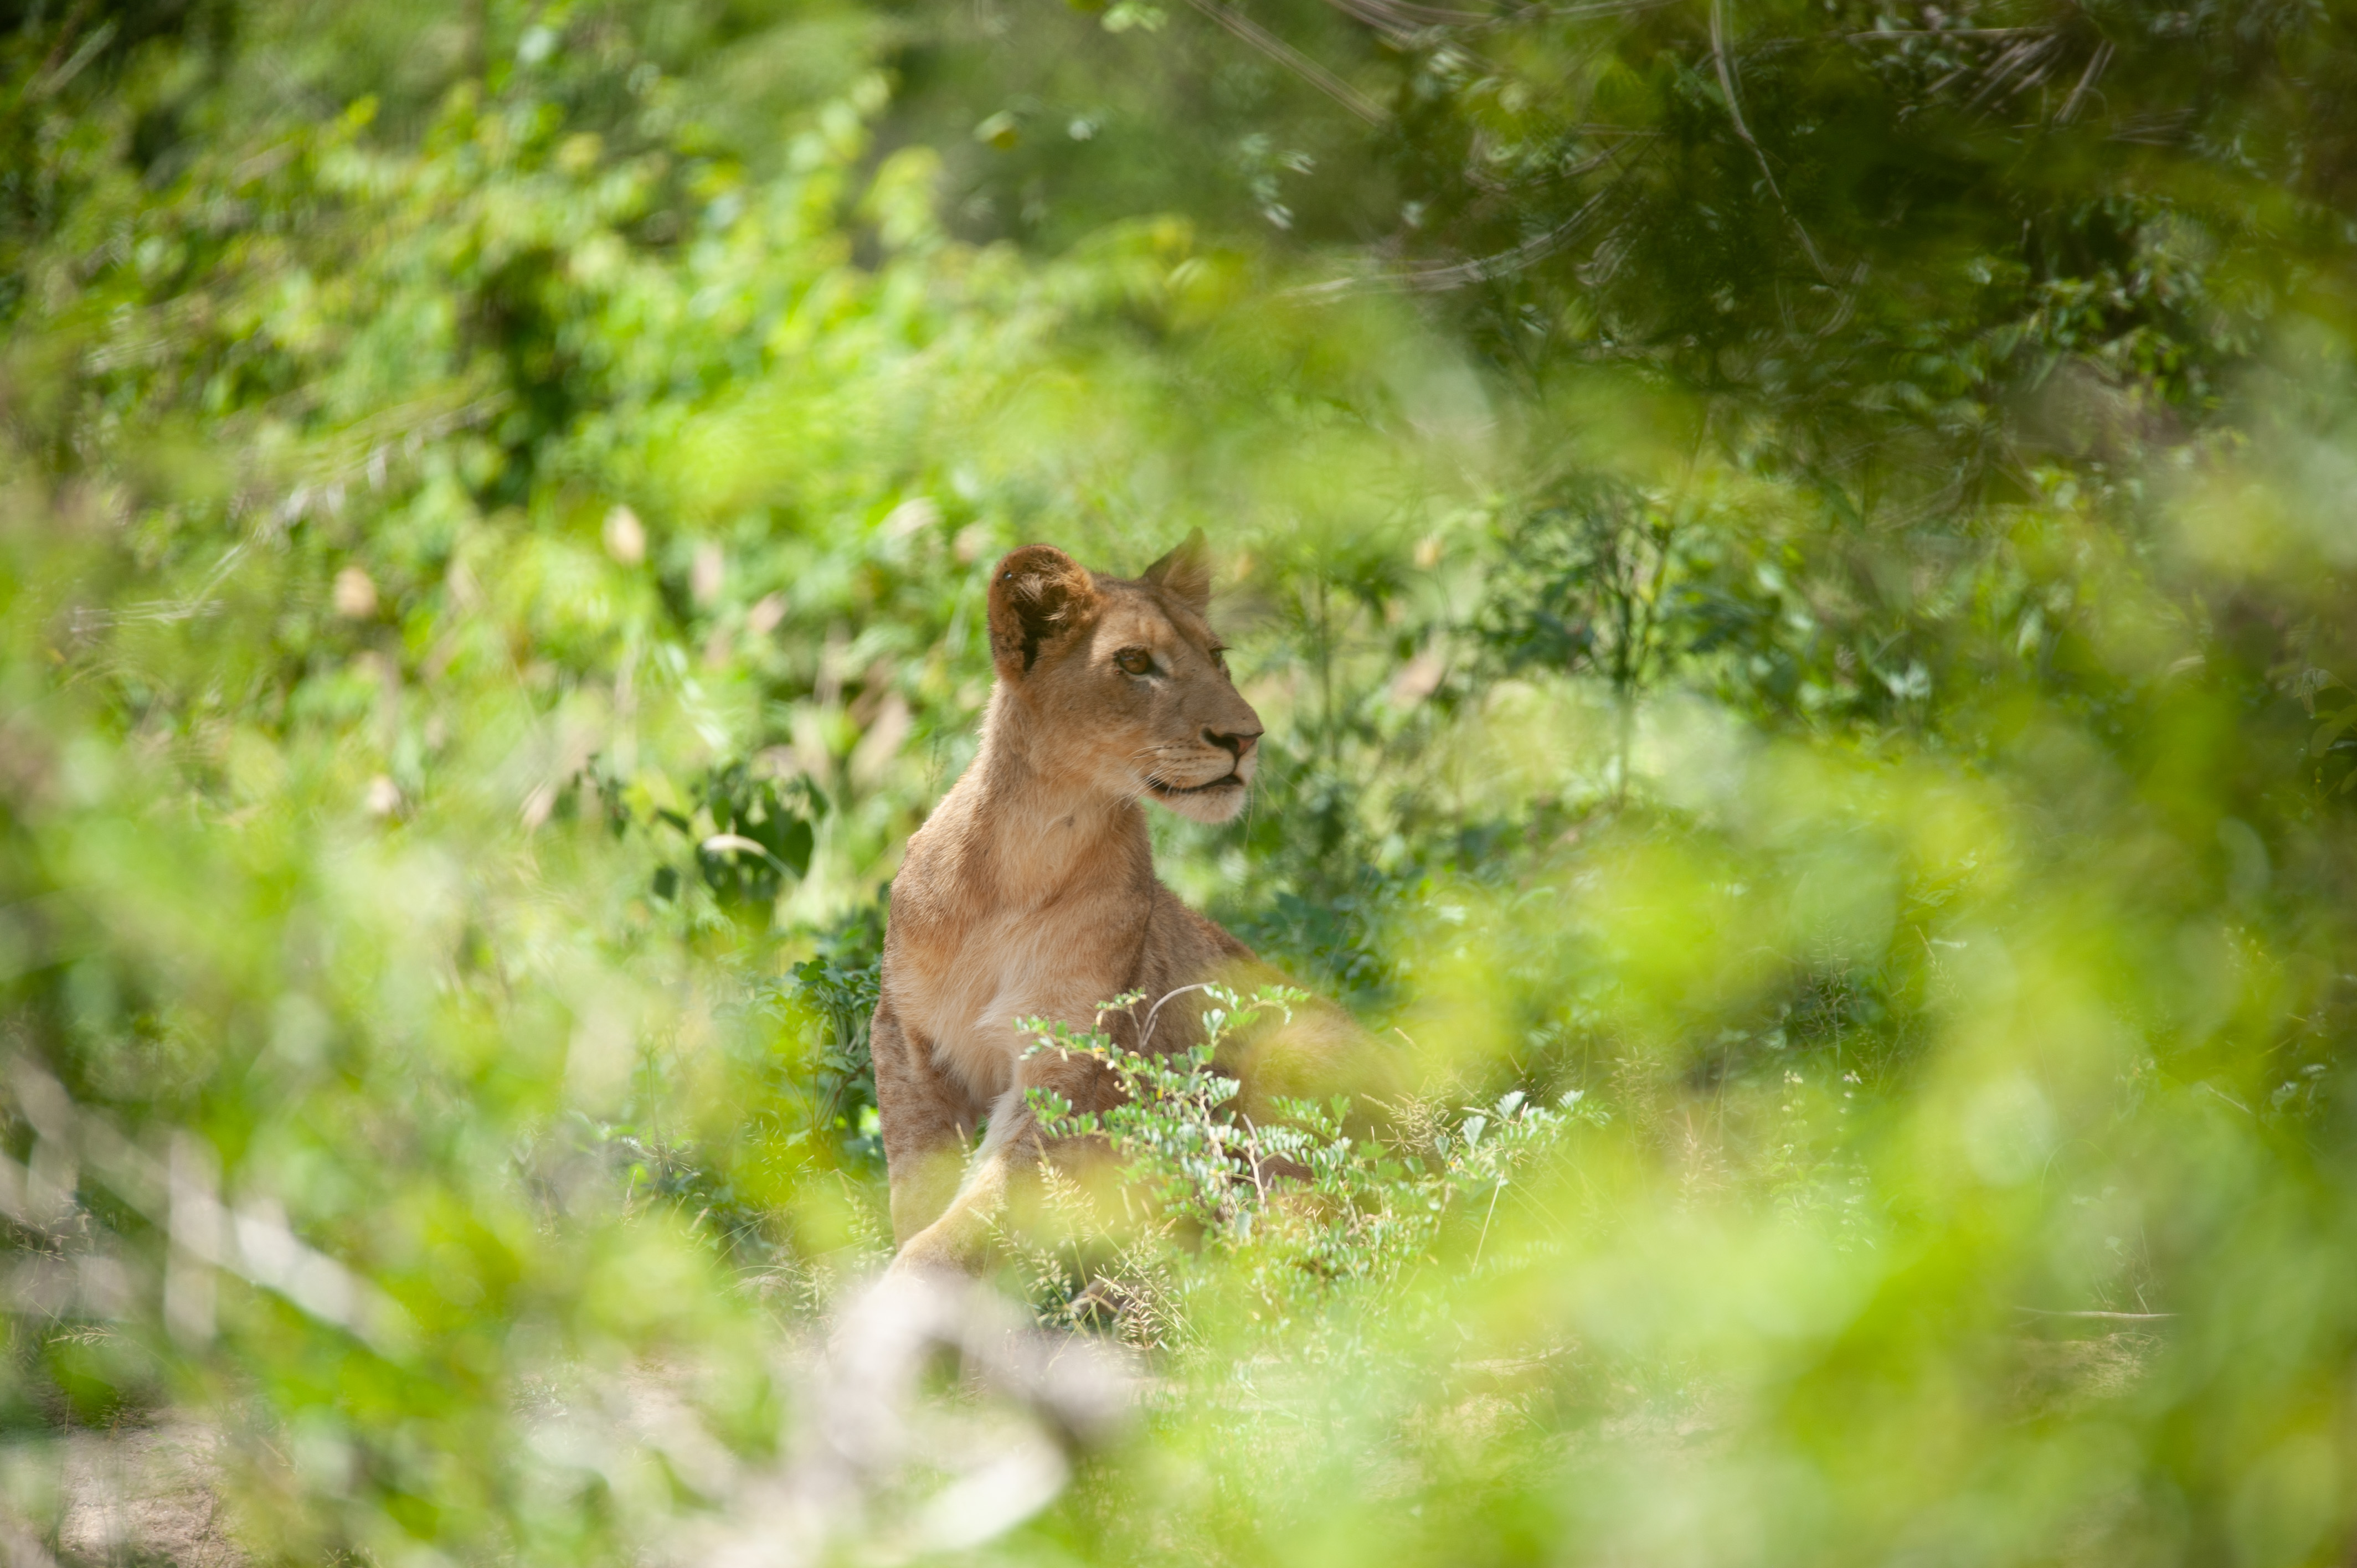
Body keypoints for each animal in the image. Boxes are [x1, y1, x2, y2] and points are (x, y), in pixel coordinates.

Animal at [871, 531, 1376, 1275]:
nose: (1246, 738)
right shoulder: (905, 1041)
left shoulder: (1076, 1064)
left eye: (1216, 657)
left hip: (1295, 1045)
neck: (1027, 851)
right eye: (1135, 662)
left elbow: (969, 1219)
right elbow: (917, 1191)